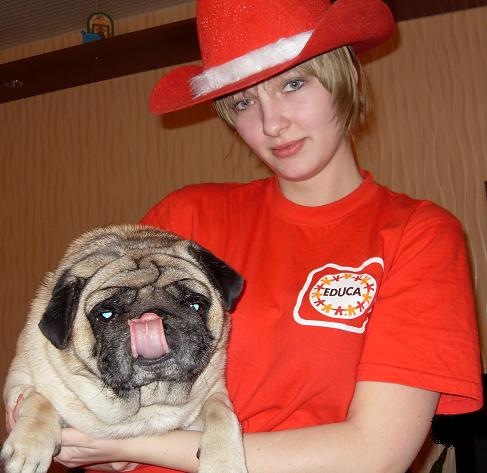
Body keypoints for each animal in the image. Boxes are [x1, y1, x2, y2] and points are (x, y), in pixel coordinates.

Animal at [1, 224, 247, 473]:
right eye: (106, 314)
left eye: (195, 305)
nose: (150, 316)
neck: (146, 400)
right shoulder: (19, 382)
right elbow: (38, 400)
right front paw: (29, 445)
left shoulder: (215, 392)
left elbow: (221, 412)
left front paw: (223, 461)